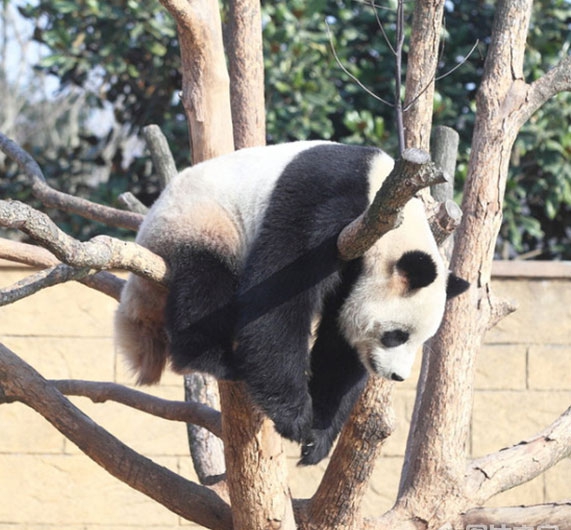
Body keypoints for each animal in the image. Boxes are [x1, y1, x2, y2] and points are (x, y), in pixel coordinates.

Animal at [116, 140, 470, 462]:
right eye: (396, 335)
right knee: (204, 285)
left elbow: (339, 344)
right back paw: (213, 359)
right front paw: (294, 419)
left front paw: (317, 437)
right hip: (198, 222)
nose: (397, 376)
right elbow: (279, 293)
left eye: (418, 341)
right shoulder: (326, 202)